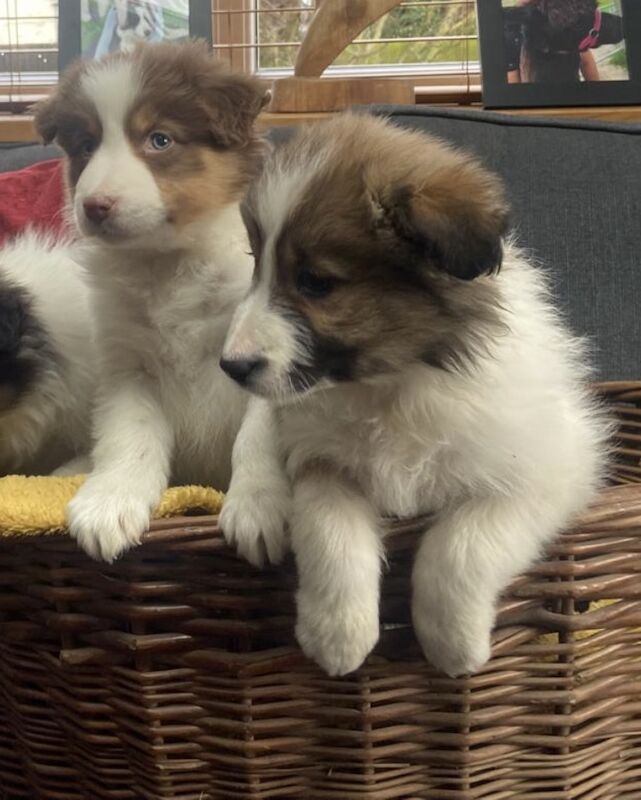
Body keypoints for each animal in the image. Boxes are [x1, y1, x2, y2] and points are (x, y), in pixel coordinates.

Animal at [32, 42, 288, 564]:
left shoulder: (261, 352)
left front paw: (258, 506)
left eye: (160, 140)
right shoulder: (128, 365)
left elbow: (255, 438)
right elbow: (129, 438)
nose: (95, 206)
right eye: (85, 146)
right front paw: (109, 502)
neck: (170, 264)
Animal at [221, 112, 608, 676]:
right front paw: (338, 634)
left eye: (315, 282)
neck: (393, 385)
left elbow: (462, 541)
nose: (231, 365)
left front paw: (453, 642)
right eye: (256, 262)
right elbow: (328, 530)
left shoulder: (547, 470)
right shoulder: (321, 458)